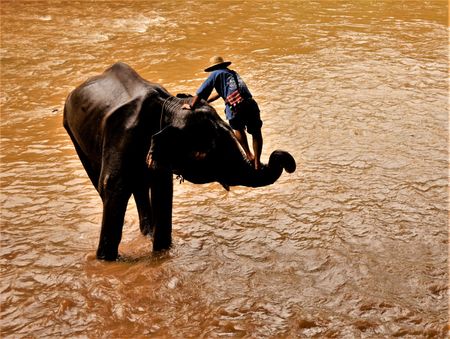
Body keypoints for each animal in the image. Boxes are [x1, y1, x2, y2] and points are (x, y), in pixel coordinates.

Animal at [63, 62, 296, 262]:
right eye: (206, 154)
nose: (285, 161)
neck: (168, 107)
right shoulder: (120, 137)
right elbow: (113, 187)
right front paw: (106, 260)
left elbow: (163, 191)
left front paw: (161, 252)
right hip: (73, 134)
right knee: (104, 185)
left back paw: (148, 233)